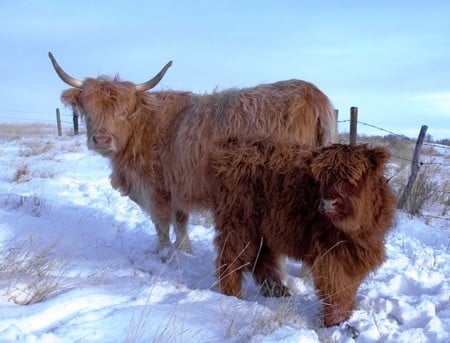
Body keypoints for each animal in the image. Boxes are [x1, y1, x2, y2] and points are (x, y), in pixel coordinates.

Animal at [50, 52, 338, 260]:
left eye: (123, 111)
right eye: (88, 109)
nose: (101, 139)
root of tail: (311, 94)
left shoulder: (157, 189)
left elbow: (161, 224)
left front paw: (163, 254)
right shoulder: (179, 187)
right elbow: (181, 222)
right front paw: (185, 251)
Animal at [207, 140, 398, 328]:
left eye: (352, 177)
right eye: (322, 178)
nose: (328, 202)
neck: (356, 230)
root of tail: (232, 155)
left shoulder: (357, 255)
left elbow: (349, 287)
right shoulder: (330, 254)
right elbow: (336, 287)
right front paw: (334, 321)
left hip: (261, 232)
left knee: (262, 258)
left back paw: (278, 292)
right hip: (239, 226)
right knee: (230, 259)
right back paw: (232, 295)